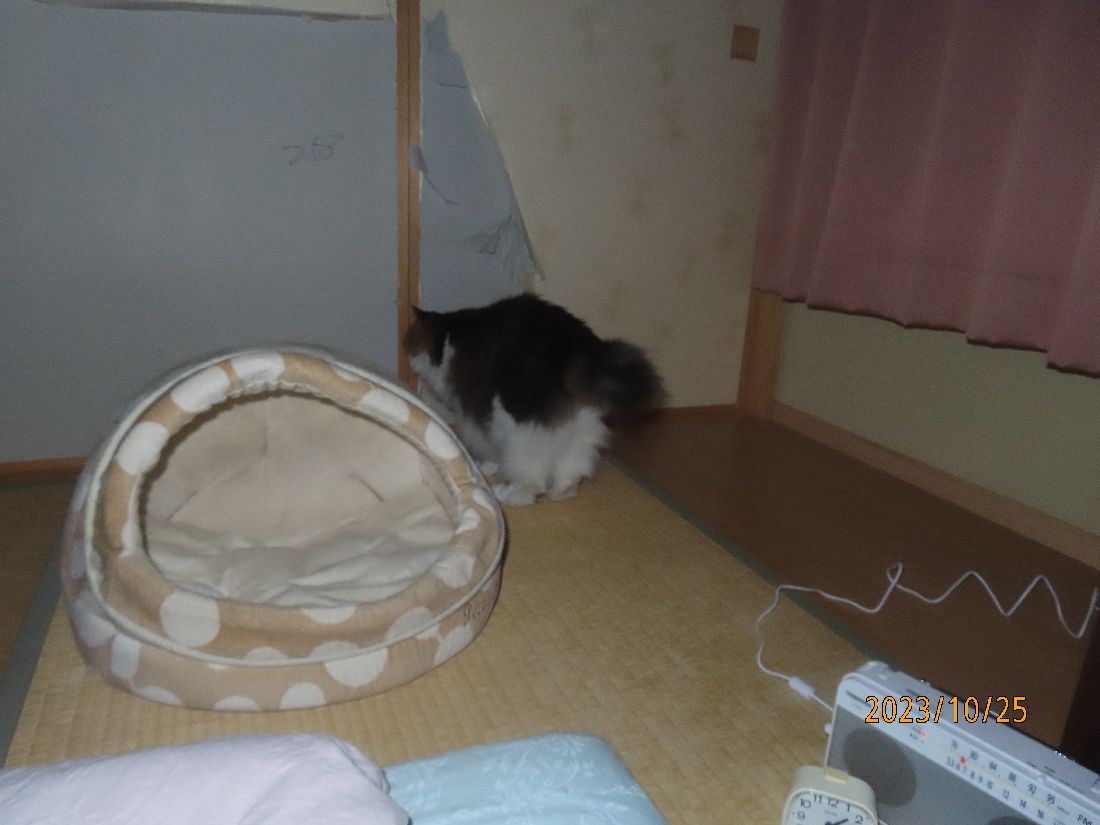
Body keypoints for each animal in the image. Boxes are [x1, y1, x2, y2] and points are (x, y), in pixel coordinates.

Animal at [403, 294, 663, 506]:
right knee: (570, 472)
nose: (406, 354)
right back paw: (563, 492)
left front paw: (484, 467)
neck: (448, 341)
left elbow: (487, 445)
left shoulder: (476, 414)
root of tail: (580, 352)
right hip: (582, 426)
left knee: (533, 479)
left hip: (516, 422)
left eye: (409, 342)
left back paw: (508, 495)